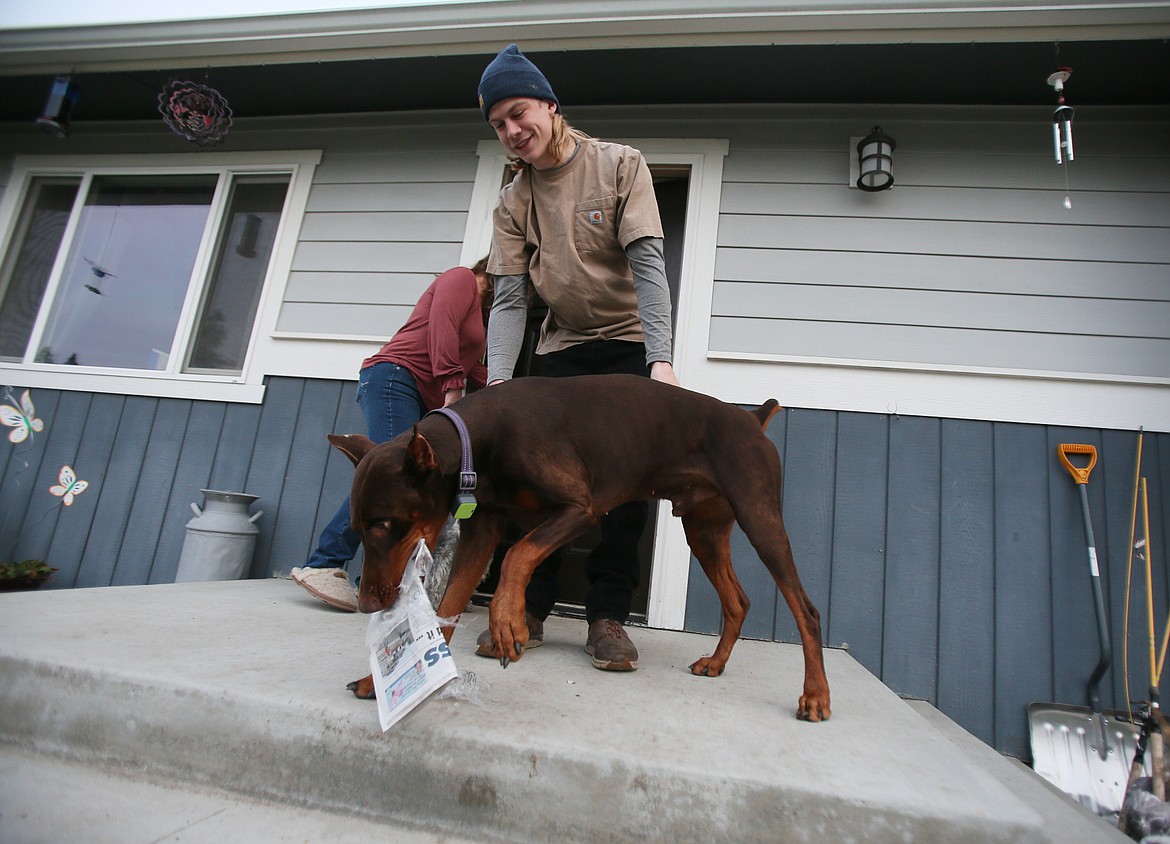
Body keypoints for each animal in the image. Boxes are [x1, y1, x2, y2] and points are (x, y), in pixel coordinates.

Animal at [329, 376, 833, 725]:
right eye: (358, 527)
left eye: (385, 524)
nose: (368, 604)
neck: (480, 438)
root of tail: (752, 418)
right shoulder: (483, 530)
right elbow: (449, 607)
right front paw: (379, 680)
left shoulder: (580, 509)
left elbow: (519, 555)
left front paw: (508, 625)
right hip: (704, 529)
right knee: (738, 600)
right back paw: (716, 663)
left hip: (760, 516)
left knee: (806, 611)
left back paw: (816, 696)